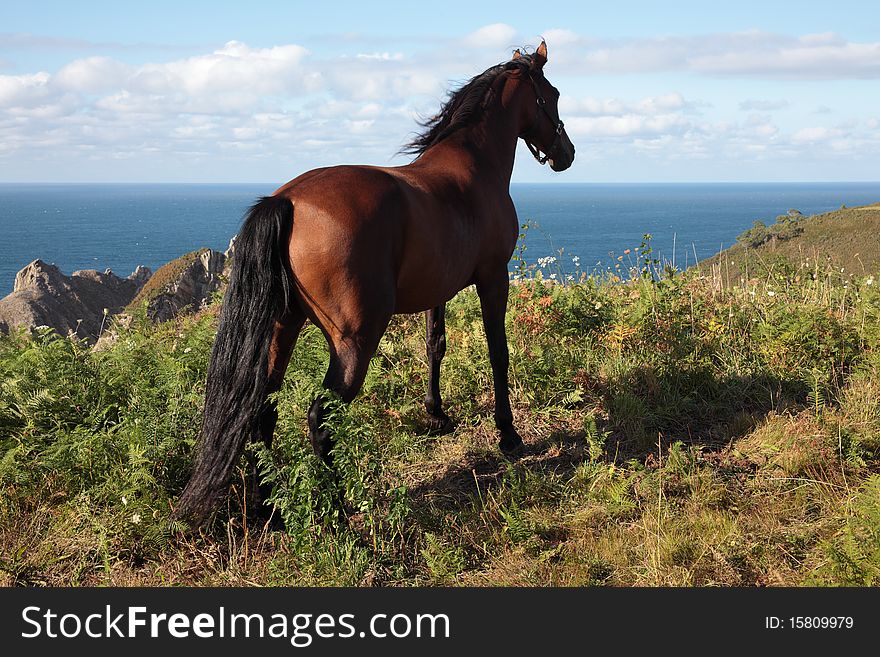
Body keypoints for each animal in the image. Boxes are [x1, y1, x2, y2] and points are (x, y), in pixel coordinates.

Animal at [178, 41, 576, 524]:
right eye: (553, 94)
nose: (567, 153)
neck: (473, 169)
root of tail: (287, 200)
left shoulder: (437, 289)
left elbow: (435, 346)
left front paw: (436, 417)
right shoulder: (493, 278)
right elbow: (498, 352)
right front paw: (508, 433)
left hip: (282, 328)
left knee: (262, 410)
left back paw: (267, 507)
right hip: (355, 340)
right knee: (320, 416)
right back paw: (338, 506)